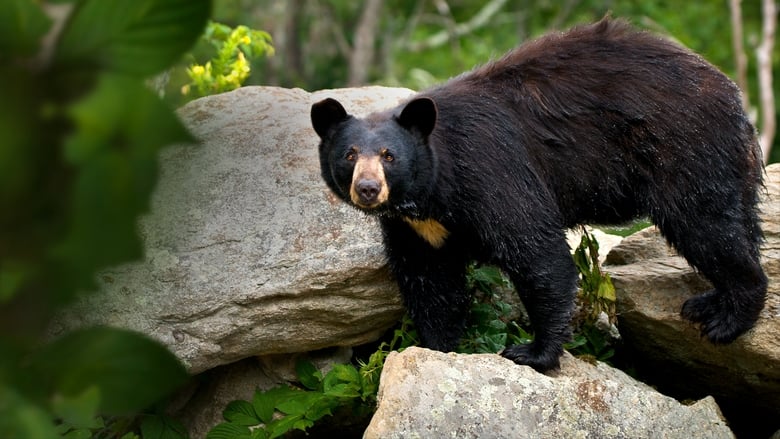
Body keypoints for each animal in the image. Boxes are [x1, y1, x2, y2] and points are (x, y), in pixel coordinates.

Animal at [310, 18, 768, 372]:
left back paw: (727, 317)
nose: (368, 189)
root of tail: (732, 94)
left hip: (683, 150)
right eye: (350, 154)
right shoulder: (414, 227)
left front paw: (533, 352)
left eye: (389, 156)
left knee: (706, 226)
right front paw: (436, 347)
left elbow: (537, 254)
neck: (433, 191)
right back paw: (711, 302)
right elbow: (430, 282)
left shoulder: (491, 172)